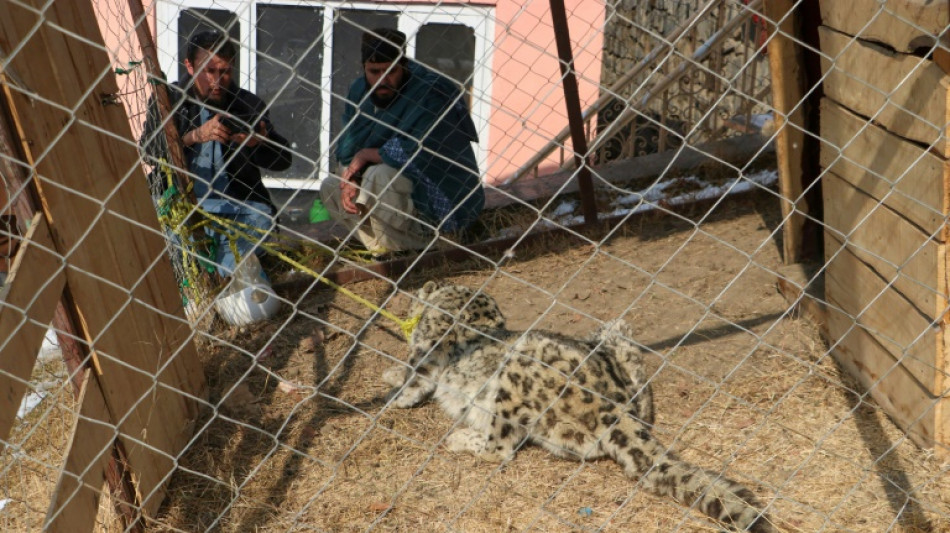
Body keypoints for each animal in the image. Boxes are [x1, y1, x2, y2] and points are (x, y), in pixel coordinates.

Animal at [384, 280, 772, 528]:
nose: (410, 303)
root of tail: (618, 409)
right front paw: (391, 375)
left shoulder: (429, 349)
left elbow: (416, 375)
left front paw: (395, 393)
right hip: (616, 342)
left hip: (518, 370)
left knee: (500, 449)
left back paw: (461, 438)